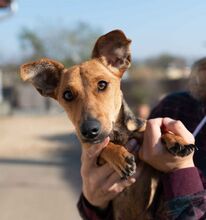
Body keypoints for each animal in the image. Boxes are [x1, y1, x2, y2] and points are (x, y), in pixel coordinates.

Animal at [19, 30, 195, 219]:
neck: (118, 132)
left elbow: (151, 129)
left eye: (102, 84)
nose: (89, 130)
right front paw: (119, 156)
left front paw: (176, 139)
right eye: (67, 95)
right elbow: (104, 146)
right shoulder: (91, 152)